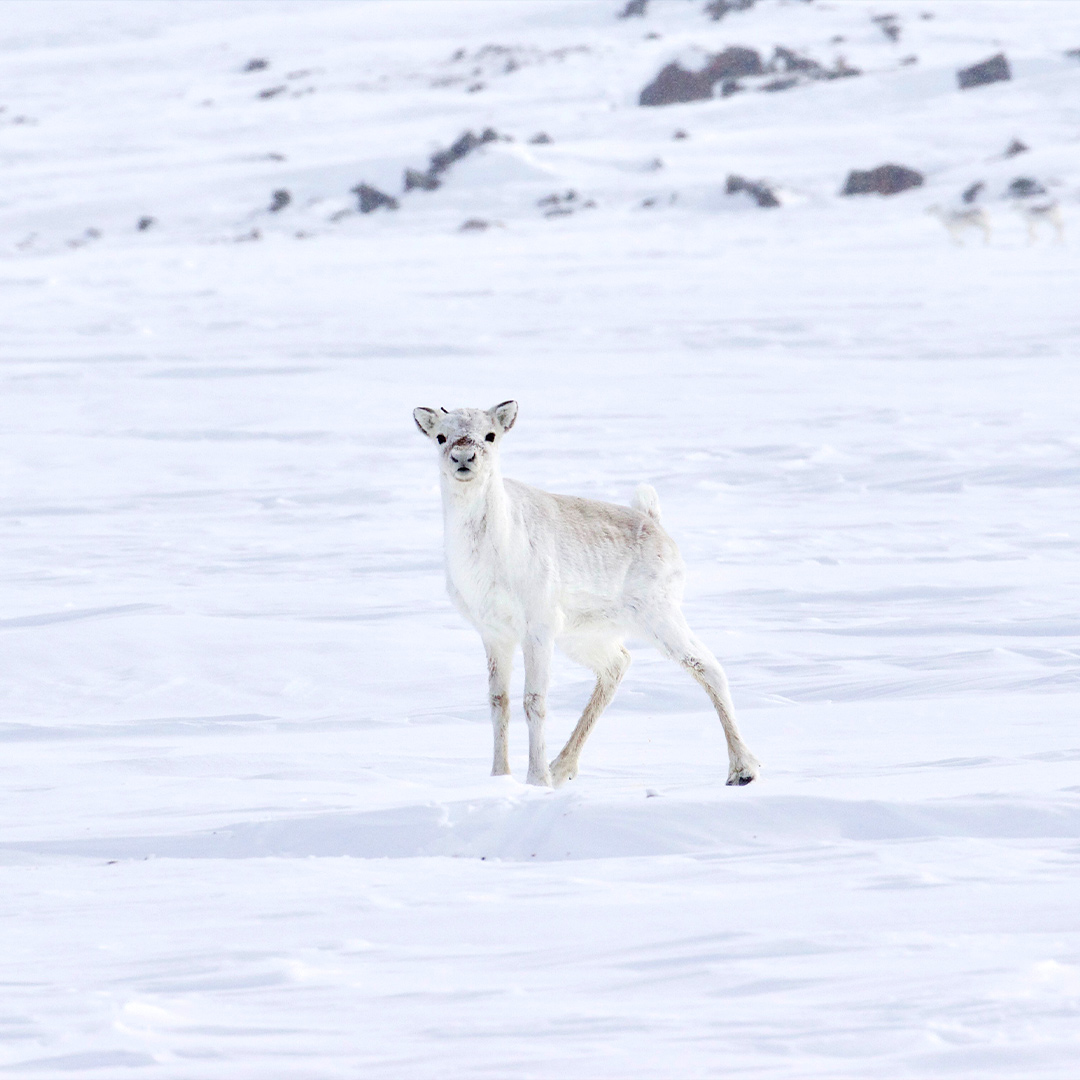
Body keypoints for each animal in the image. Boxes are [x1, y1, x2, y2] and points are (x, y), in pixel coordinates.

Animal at [412, 401, 760, 790]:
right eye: (440, 436)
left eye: (490, 435)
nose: (464, 458)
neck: (486, 548)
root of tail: (654, 521)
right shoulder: (495, 636)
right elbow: (498, 703)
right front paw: (500, 777)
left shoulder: (538, 631)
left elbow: (534, 701)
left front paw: (536, 780)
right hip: (584, 638)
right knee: (617, 666)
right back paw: (562, 767)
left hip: (660, 621)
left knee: (708, 668)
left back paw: (742, 770)